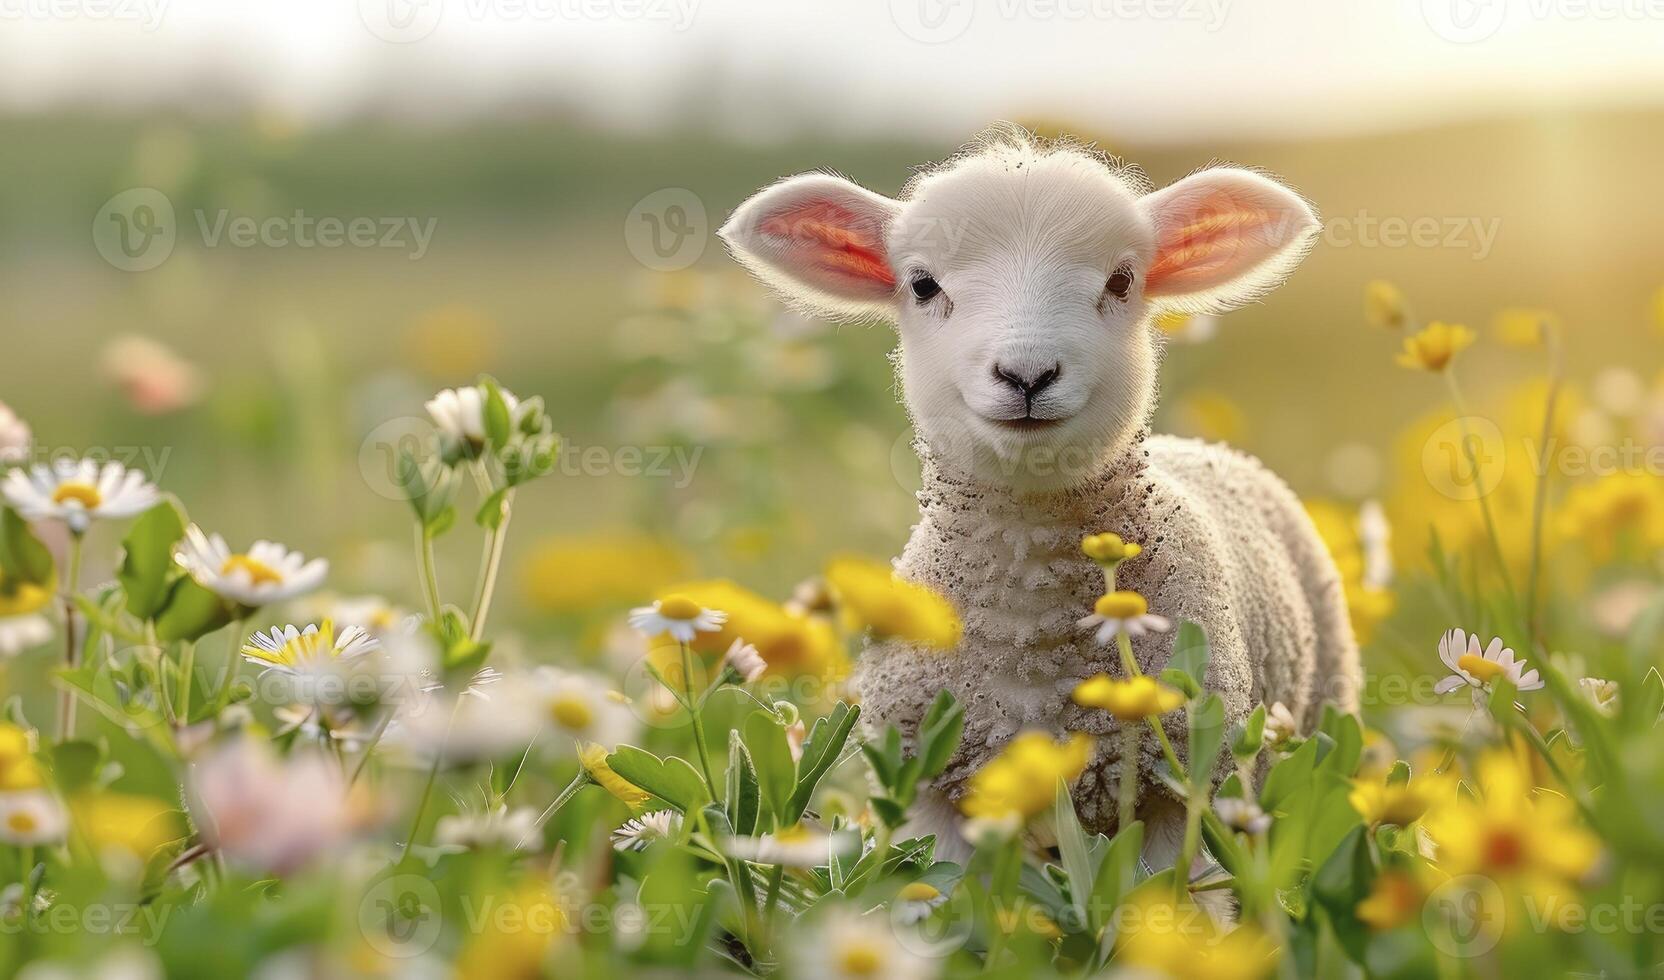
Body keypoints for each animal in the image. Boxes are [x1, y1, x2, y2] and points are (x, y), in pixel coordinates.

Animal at [722, 123, 1357, 865]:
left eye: (1121, 280)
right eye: (923, 284)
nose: (1027, 374)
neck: (1030, 627)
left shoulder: (1185, 787)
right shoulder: (929, 788)